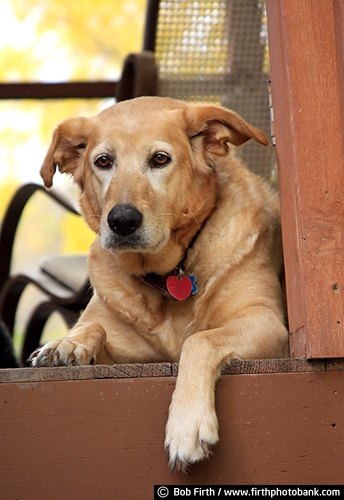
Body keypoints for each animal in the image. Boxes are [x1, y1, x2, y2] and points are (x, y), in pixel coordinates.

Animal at [29, 96, 288, 472]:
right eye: (103, 161)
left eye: (160, 159)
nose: (122, 220)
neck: (167, 275)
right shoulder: (120, 354)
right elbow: (94, 327)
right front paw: (68, 342)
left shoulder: (267, 324)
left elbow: (199, 340)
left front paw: (187, 424)